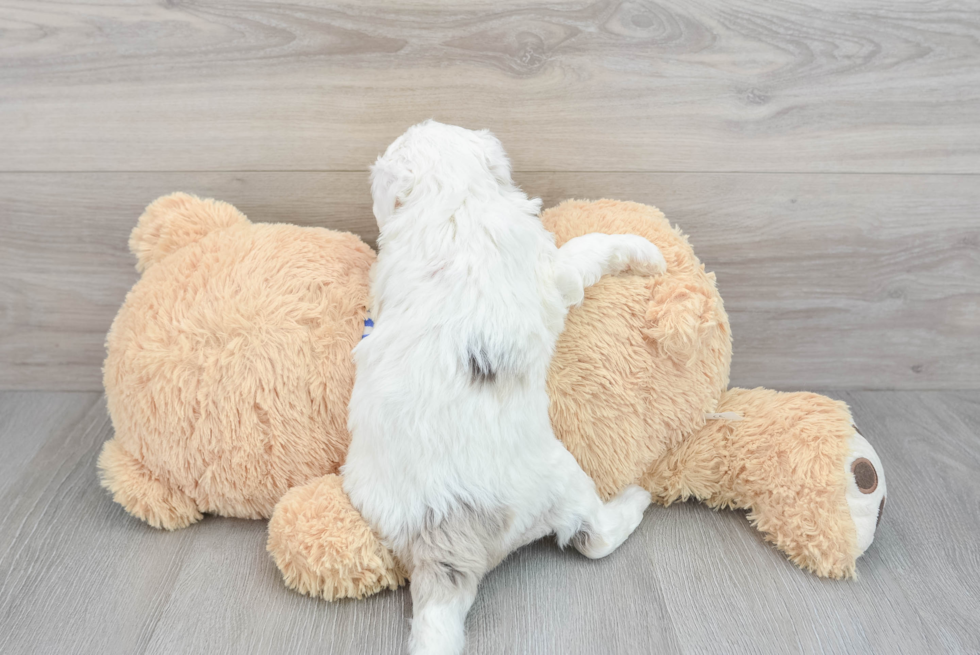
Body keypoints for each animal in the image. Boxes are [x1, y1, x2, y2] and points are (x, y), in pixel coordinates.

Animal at [342, 120, 668, 652]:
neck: (452, 198)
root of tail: (441, 528)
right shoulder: (555, 269)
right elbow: (590, 247)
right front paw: (647, 252)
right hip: (560, 481)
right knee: (593, 537)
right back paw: (633, 502)